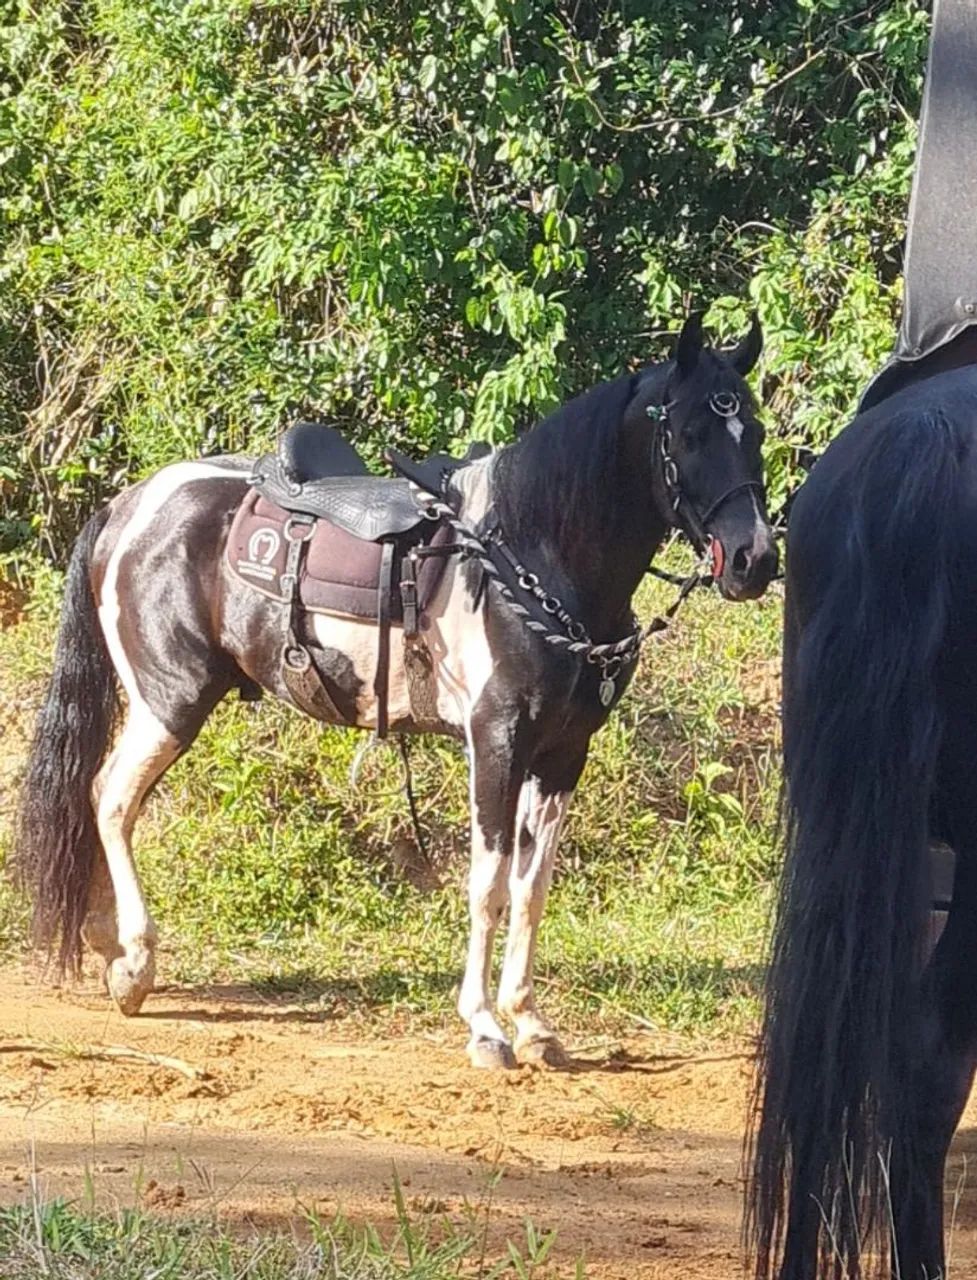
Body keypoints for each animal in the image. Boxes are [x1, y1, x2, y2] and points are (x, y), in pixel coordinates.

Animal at [16, 312, 777, 1070]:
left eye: (756, 432)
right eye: (688, 433)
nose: (755, 560)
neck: (531, 555)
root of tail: (129, 507)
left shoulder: (563, 754)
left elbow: (531, 889)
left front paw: (531, 1023)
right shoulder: (496, 742)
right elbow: (488, 885)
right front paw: (484, 1027)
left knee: (106, 800)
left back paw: (105, 942)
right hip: (169, 701)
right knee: (112, 799)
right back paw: (134, 962)